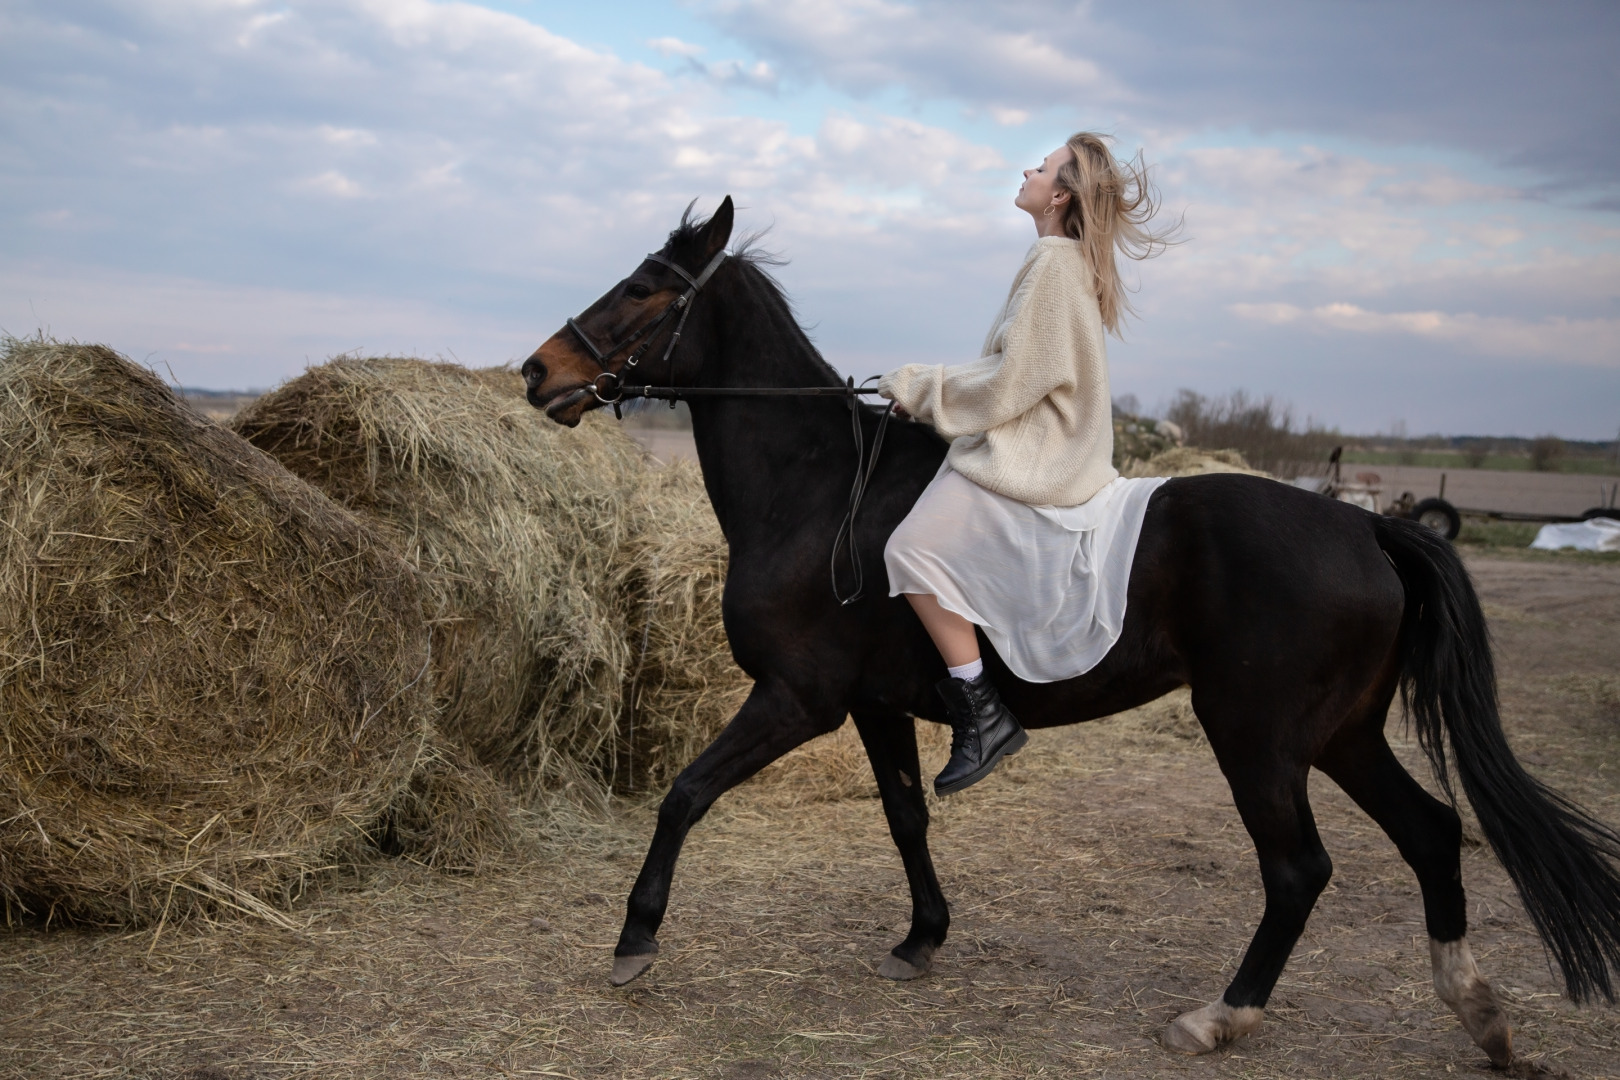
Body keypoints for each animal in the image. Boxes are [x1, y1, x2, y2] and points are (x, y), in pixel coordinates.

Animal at [521, 198, 1620, 1062]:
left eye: (641, 291)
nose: (535, 373)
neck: (819, 490)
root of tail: (1365, 524)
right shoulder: (874, 707)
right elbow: (906, 816)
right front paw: (923, 938)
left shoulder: (798, 699)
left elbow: (685, 795)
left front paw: (635, 941)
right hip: (1342, 735)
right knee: (1431, 833)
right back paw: (1478, 1014)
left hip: (1258, 738)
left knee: (1299, 869)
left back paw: (1219, 1017)